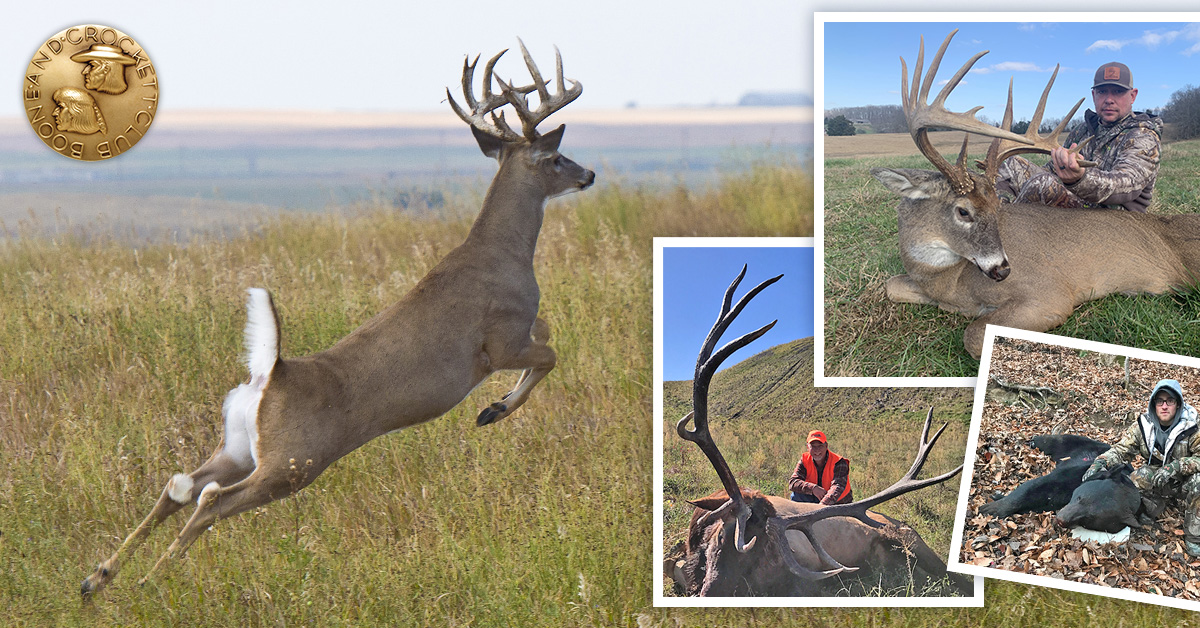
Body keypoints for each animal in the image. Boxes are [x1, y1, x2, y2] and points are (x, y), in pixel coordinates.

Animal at [79, 39, 595, 600]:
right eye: (555, 156)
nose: (589, 174)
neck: (503, 254)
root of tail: (271, 374)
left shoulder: (519, 333)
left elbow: (549, 338)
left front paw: (493, 407)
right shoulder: (500, 341)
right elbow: (551, 353)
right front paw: (493, 410)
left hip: (239, 447)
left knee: (178, 488)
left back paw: (96, 578)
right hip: (292, 464)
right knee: (210, 500)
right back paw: (146, 583)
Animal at [873, 29, 1200, 360]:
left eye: (996, 210)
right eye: (963, 210)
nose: (1003, 269)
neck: (950, 281)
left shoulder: (1050, 294)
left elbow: (974, 334)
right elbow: (891, 284)